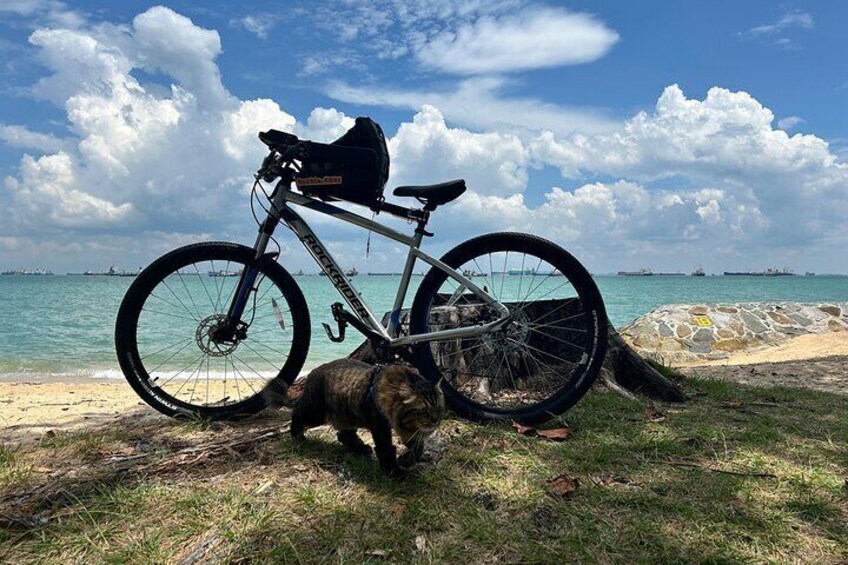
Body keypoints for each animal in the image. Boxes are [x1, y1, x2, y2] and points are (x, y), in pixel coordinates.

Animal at [264, 360, 444, 474]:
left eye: (439, 407)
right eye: (423, 410)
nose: (436, 420)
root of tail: (312, 374)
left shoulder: (407, 430)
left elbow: (418, 448)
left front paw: (406, 460)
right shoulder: (380, 428)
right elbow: (386, 450)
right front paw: (394, 472)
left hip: (346, 414)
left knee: (343, 434)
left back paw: (360, 448)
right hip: (316, 413)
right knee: (297, 415)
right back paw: (297, 437)